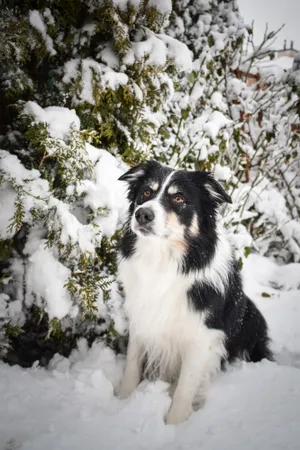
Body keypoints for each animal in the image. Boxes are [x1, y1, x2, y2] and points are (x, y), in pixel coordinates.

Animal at [117, 161, 272, 426]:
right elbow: (132, 366)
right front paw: (122, 402)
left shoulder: (201, 337)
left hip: (253, 319)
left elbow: (185, 387)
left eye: (179, 198)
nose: (142, 214)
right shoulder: (141, 317)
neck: (163, 261)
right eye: (146, 192)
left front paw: (174, 424)